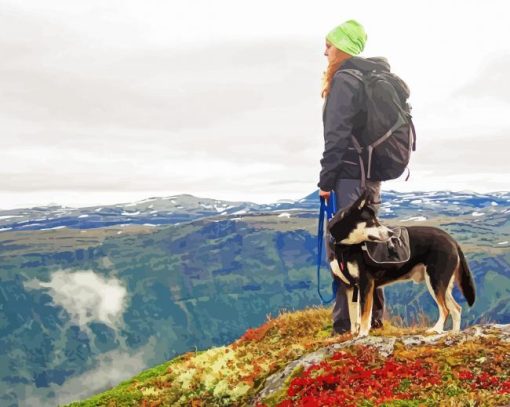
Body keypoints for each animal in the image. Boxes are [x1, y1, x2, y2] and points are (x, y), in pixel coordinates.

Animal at [328, 191, 476, 338]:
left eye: (376, 220)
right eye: (372, 221)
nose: (390, 233)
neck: (344, 247)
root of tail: (452, 240)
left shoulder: (366, 283)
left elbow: (365, 314)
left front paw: (363, 335)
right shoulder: (349, 286)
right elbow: (353, 314)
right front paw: (353, 334)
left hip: (435, 280)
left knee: (445, 309)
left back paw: (436, 329)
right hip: (442, 284)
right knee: (456, 308)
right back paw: (454, 333)